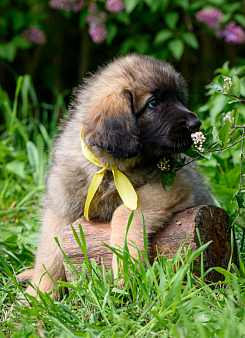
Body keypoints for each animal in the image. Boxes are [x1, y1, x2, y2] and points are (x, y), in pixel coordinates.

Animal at [18, 52, 212, 296]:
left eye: (178, 98)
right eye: (154, 103)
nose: (196, 123)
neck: (109, 168)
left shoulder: (176, 184)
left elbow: (124, 212)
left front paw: (126, 265)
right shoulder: (60, 209)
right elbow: (50, 252)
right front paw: (39, 295)